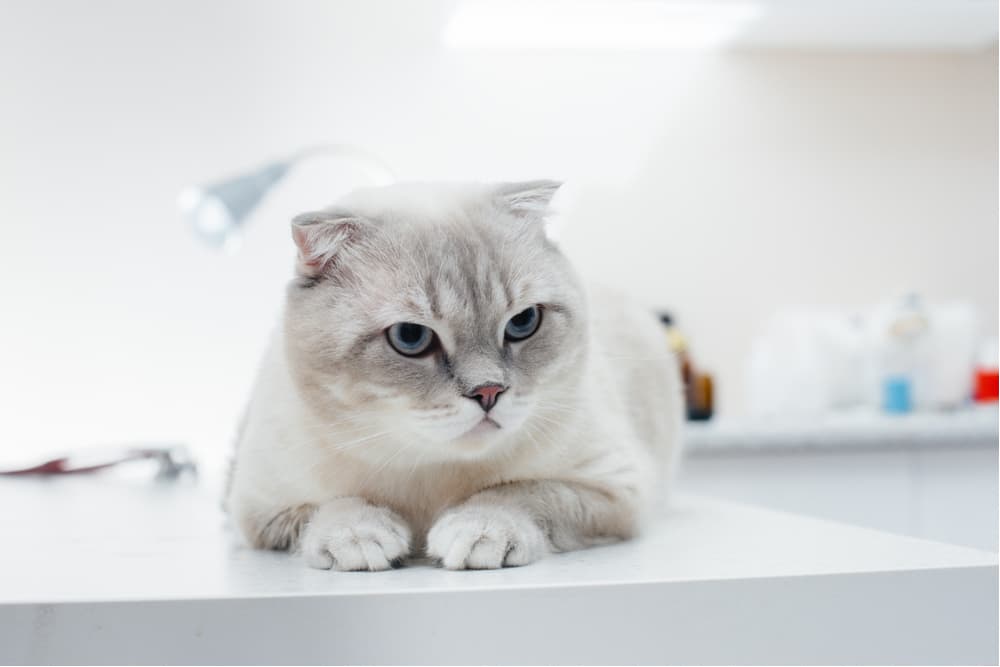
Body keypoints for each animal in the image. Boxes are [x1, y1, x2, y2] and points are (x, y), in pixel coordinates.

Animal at [224, 180, 684, 572]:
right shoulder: (260, 511)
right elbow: (334, 506)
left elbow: (520, 492)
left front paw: (479, 529)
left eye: (523, 322)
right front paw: (359, 535)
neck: (429, 473)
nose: (489, 392)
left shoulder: (614, 489)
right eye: (410, 337)